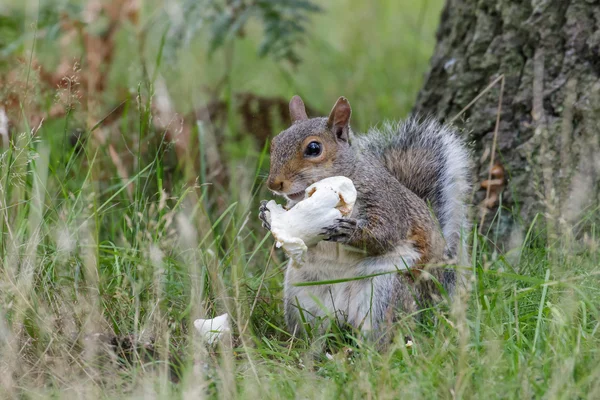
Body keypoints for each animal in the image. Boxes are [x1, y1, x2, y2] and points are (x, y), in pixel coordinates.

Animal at [258, 94, 468, 344]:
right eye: (274, 142)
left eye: (314, 148)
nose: (274, 183)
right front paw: (266, 216)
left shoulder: (386, 201)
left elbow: (386, 232)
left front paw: (349, 232)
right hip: (301, 296)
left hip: (384, 292)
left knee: (383, 332)